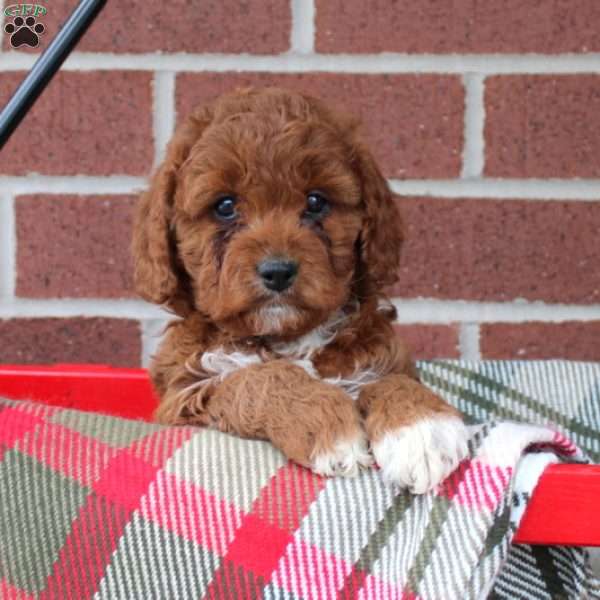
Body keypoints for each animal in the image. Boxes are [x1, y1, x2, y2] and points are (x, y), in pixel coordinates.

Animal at [135, 86, 468, 494]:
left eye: (315, 201)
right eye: (225, 206)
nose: (277, 271)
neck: (288, 337)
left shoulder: (381, 353)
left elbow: (392, 378)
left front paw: (423, 429)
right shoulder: (186, 391)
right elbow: (259, 378)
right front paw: (326, 426)